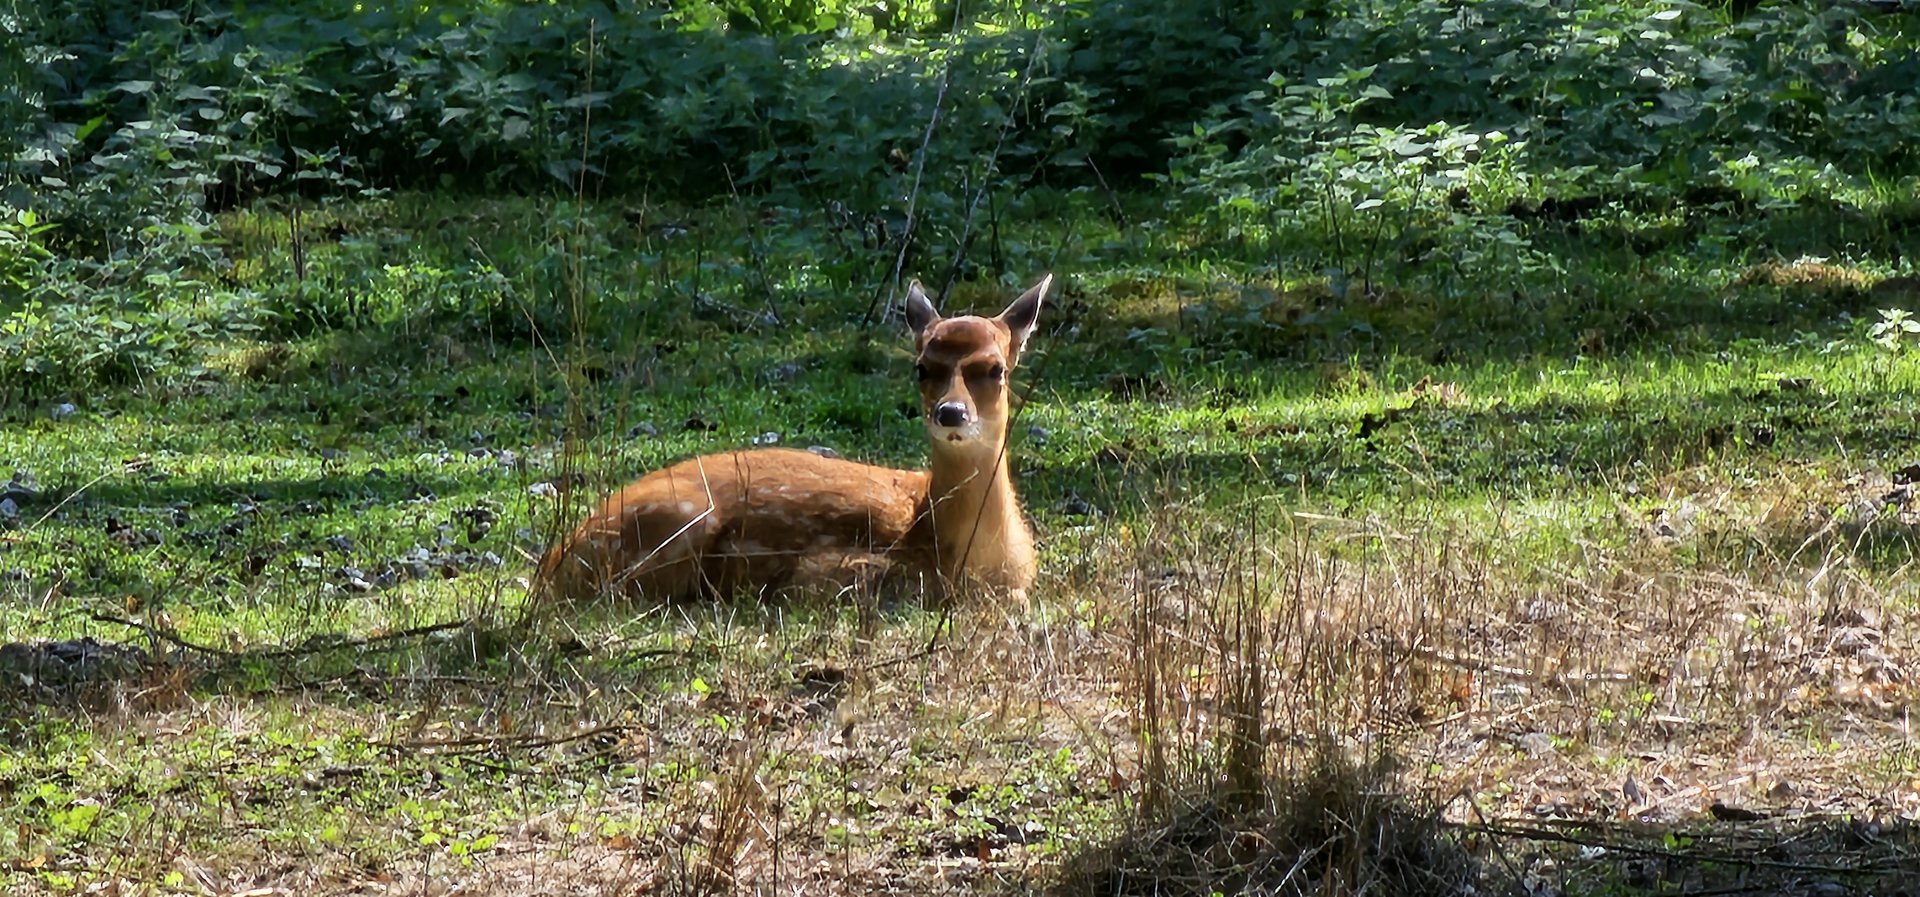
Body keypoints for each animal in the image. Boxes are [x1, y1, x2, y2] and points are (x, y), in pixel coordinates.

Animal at [536, 275, 1051, 605]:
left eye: (996, 369)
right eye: (923, 368)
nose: (951, 412)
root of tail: (552, 565)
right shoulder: (832, 569)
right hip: (681, 519)